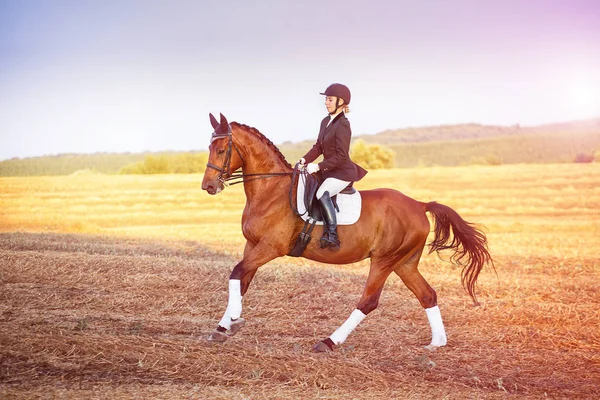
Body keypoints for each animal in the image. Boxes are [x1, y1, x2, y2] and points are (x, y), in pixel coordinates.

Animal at [202, 113, 492, 354]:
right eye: (209, 148)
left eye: (221, 149)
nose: (208, 186)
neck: (270, 190)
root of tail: (419, 205)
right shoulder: (252, 245)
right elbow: (242, 280)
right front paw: (225, 325)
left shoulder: (271, 247)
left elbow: (237, 272)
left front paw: (232, 321)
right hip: (404, 262)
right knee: (427, 295)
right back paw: (437, 343)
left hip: (384, 260)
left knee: (368, 301)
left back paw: (329, 341)